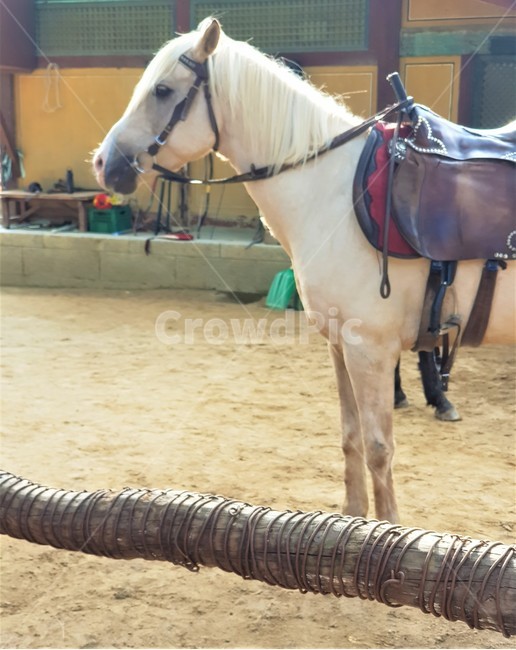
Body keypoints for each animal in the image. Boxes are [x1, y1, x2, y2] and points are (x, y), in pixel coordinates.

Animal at [93, 18, 515, 523]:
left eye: (161, 90)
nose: (103, 163)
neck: (334, 191)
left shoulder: (370, 349)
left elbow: (378, 448)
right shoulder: (341, 346)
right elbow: (352, 438)